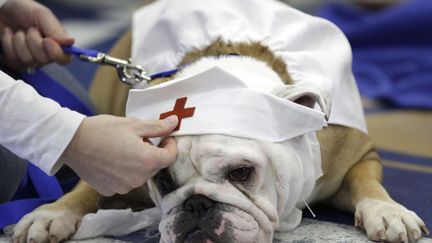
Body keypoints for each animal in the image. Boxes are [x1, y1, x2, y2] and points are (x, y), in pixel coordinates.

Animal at [12, 0, 428, 243]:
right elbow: (85, 188)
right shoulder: (120, 160)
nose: (196, 204)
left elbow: (366, 183)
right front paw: (51, 213)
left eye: (241, 173)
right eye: (163, 182)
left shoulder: (357, 154)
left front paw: (387, 211)